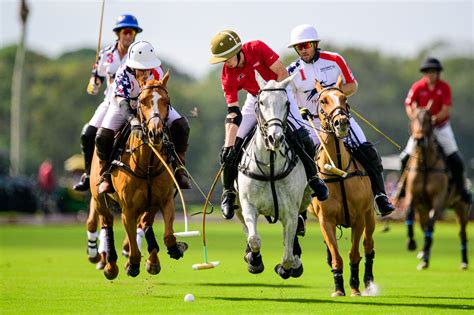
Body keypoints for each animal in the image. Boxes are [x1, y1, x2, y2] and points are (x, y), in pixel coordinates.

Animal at [89, 73, 187, 280]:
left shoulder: (164, 199)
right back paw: (110, 265)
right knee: (107, 221)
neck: (147, 165)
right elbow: (132, 240)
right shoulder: (128, 207)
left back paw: (152, 259)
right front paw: (132, 264)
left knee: (143, 223)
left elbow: (166, 234)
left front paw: (173, 249)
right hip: (99, 197)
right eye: (142, 101)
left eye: (167, 101)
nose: (155, 132)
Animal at [237, 73, 312, 280]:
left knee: (297, 231)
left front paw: (287, 267)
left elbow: (287, 256)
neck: (270, 167)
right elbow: (254, 239)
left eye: (286, 103)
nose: (275, 138)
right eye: (261, 102)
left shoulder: (291, 212)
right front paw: (254, 261)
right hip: (237, 205)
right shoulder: (248, 204)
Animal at [308, 76, 378, 296]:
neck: (338, 171)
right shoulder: (326, 220)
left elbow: (354, 253)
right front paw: (338, 288)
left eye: (344, 98)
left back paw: (369, 283)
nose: (342, 123)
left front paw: (354, 287)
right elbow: (336, 257)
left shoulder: (359, 218)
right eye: (323, 101)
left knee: (369, 245)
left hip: (370, 215)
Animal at [404, 107, 470, 270]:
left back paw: (464, 262)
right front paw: (411, 243)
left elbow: (431, 225)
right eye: (413, 119)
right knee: (424, 225)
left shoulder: (438, 199)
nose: (419, 139)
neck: (425, 165)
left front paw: (424, 256)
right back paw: (423, 253)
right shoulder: (412, 195)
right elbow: (409, 213)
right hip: (422, 209)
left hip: (461, 207)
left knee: (462, 233)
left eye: (429, 120)